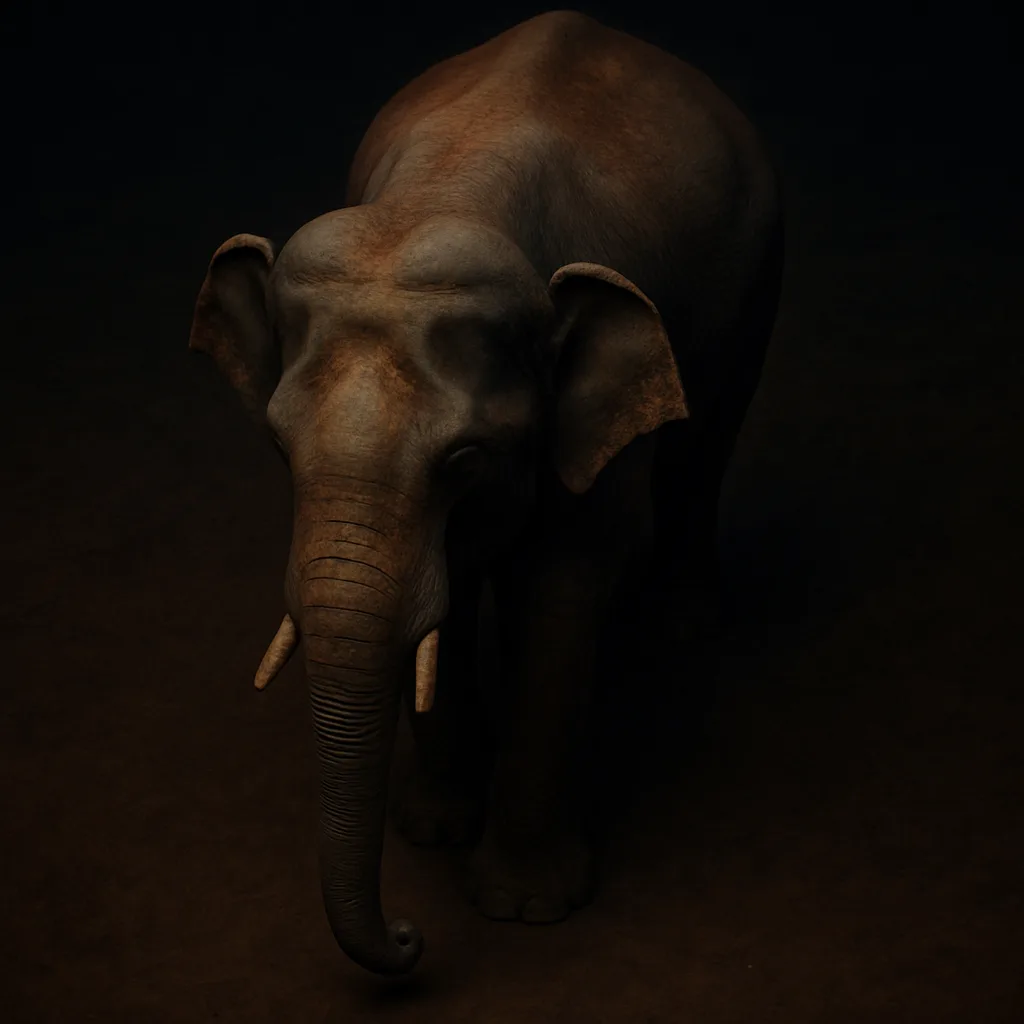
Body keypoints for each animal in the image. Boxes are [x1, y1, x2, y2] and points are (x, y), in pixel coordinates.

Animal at [187, 10, 783, 976]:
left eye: (465, 459)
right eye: (277, 446)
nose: (408, 935)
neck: (441, 196)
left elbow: (566, 580)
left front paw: (524, 907)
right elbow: (449, 593)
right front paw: (433, 832)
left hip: (759, 271)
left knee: (710, 435)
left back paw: (682, 630)